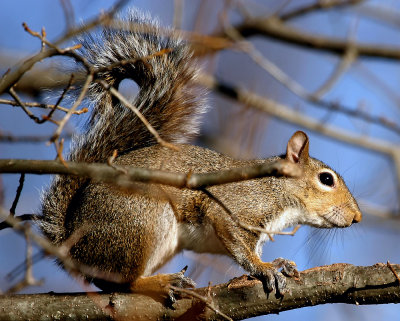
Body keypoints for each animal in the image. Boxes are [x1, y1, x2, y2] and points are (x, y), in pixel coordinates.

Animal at [38, 11, 362, 298]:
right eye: (326, 179)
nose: (357, 217)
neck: (275, 189)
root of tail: (71, 244)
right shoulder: (234, 207)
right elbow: (239, 245)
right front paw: (263, 268)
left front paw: (278, 263)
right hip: (142, 219)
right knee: (121, 281)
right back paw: (162, 282)